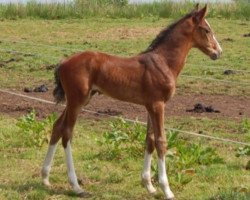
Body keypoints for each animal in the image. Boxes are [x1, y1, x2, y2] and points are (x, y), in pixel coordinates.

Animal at [41, 4, 223, 198]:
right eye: (206, 30)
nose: (218, 52)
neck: (164, 62)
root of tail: (63, 62)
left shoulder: (150, 105)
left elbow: (150, 139)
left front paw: (149, 186)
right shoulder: (158, 105)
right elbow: (161, 141)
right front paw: (166, 189)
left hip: (80, 100)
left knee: (57, 126)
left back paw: (45, 178)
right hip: (77, 100)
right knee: (67, 133)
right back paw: (76, 186)